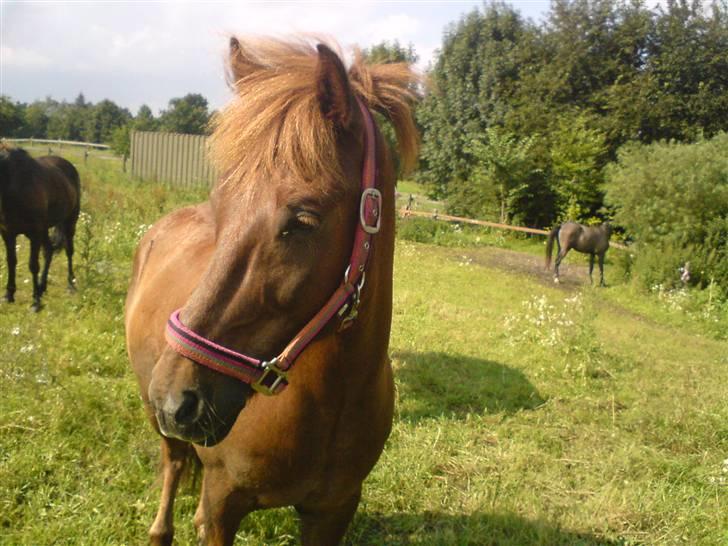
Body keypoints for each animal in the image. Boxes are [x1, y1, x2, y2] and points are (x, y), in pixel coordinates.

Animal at [0, 144, 80, 310]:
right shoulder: (7, 233)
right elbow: (11, 261)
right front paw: (9, 295)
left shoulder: (34, 233)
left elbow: (33, 265)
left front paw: (35, 302)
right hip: (44, 229)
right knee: (49, 250)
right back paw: (42, 287)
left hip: (69, 222)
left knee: (69, 251)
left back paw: (70, 284)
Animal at [124, 39, 418, 544]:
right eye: (221, 206)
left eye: (303, 221)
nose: (176, 398)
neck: (331, 403)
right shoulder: (225, 501)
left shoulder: (334, 510)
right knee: (174, 462)